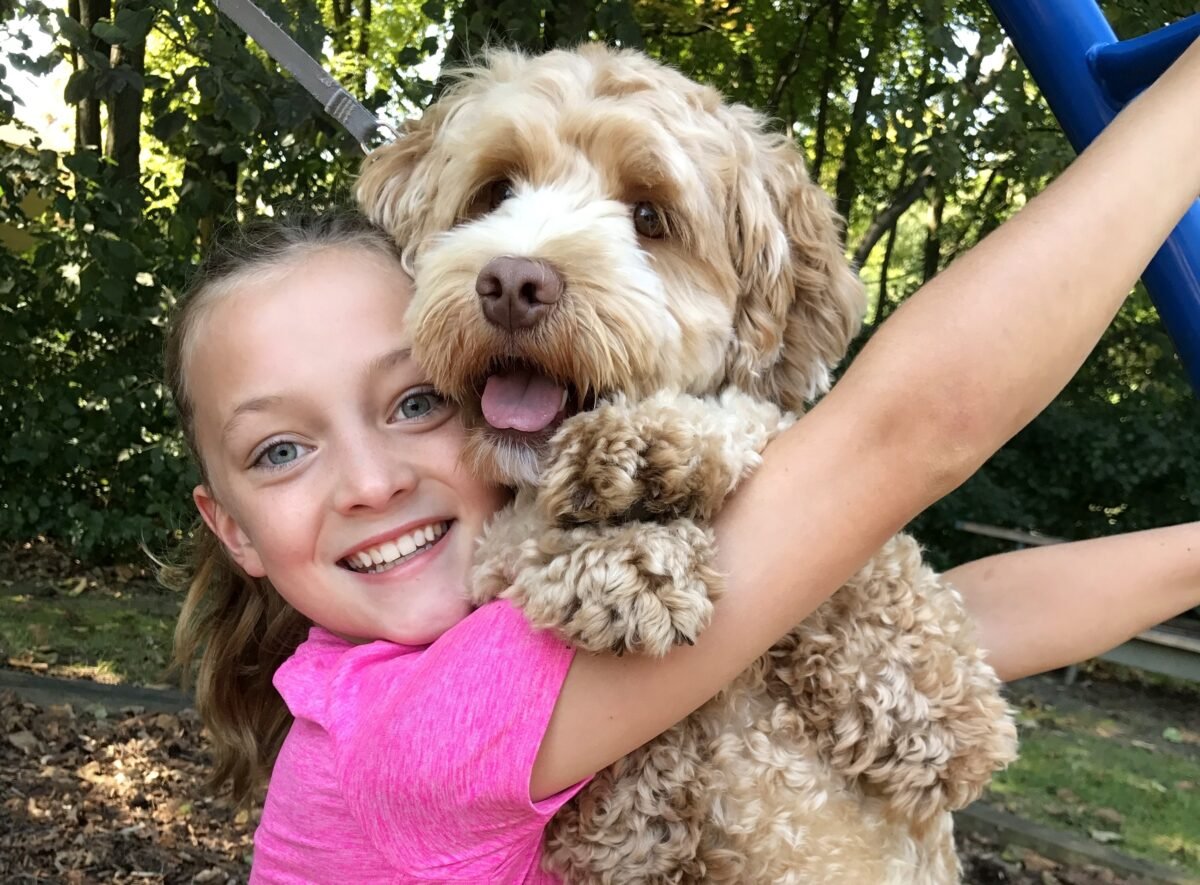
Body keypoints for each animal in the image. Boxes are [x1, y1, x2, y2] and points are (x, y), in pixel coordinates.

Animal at [355, 44, 1012, 877]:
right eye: (495, 190)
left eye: (648, 216)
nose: (512, 281)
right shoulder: (620, 825)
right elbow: (505, 543)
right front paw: (623, 553)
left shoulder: (949, 719)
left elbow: (768, 427)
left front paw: (646, 460)